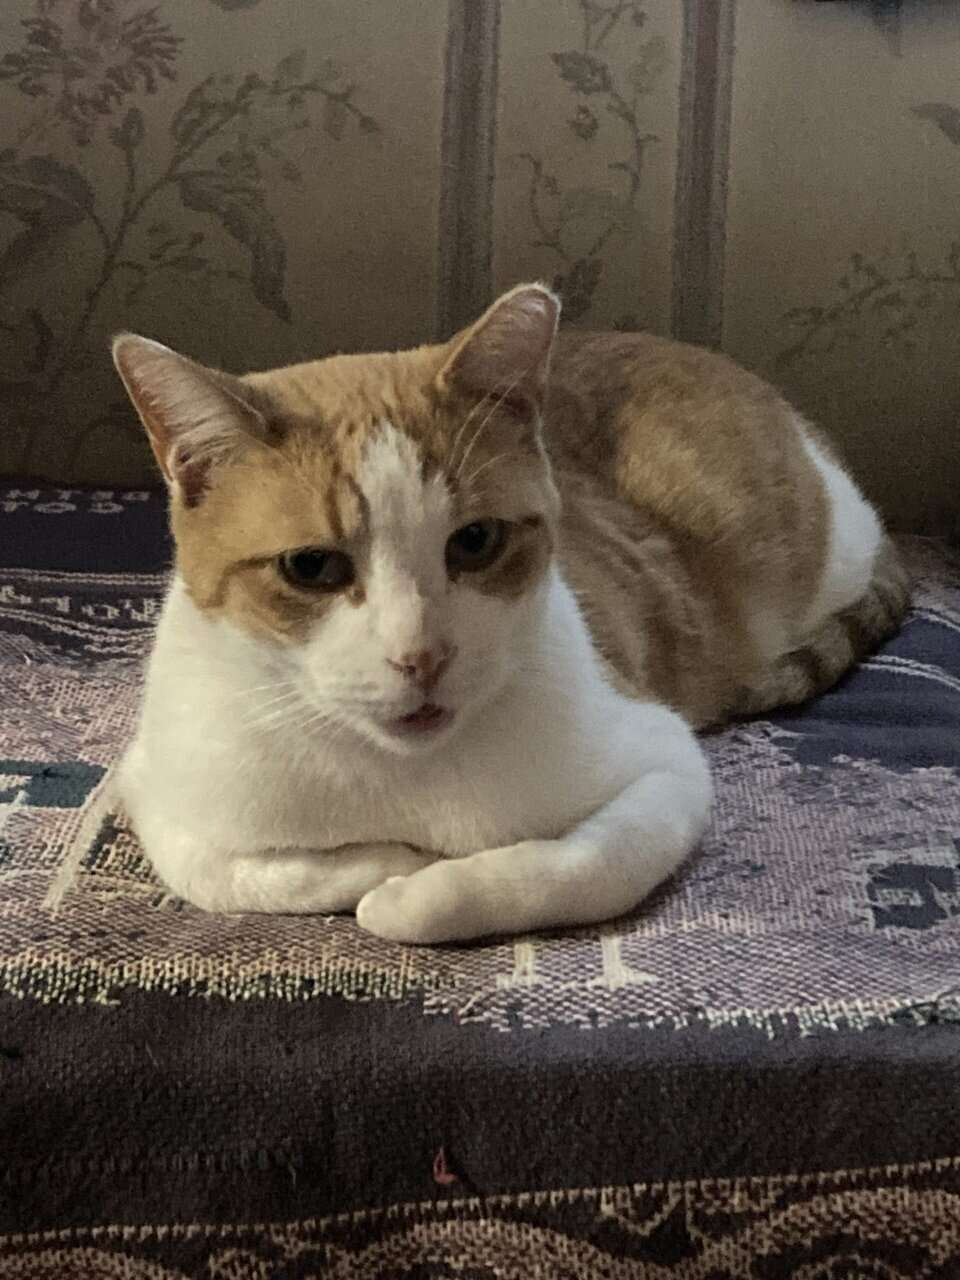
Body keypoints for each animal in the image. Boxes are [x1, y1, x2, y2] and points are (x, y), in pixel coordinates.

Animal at [111, 283, 908, 944]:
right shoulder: (160, 794)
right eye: (311, 567)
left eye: (475, 542)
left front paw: (416, 890)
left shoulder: (664, 764)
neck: (407, 773)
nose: (421, 656)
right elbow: (238, 873)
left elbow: (569, 870)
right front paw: (394, 862)